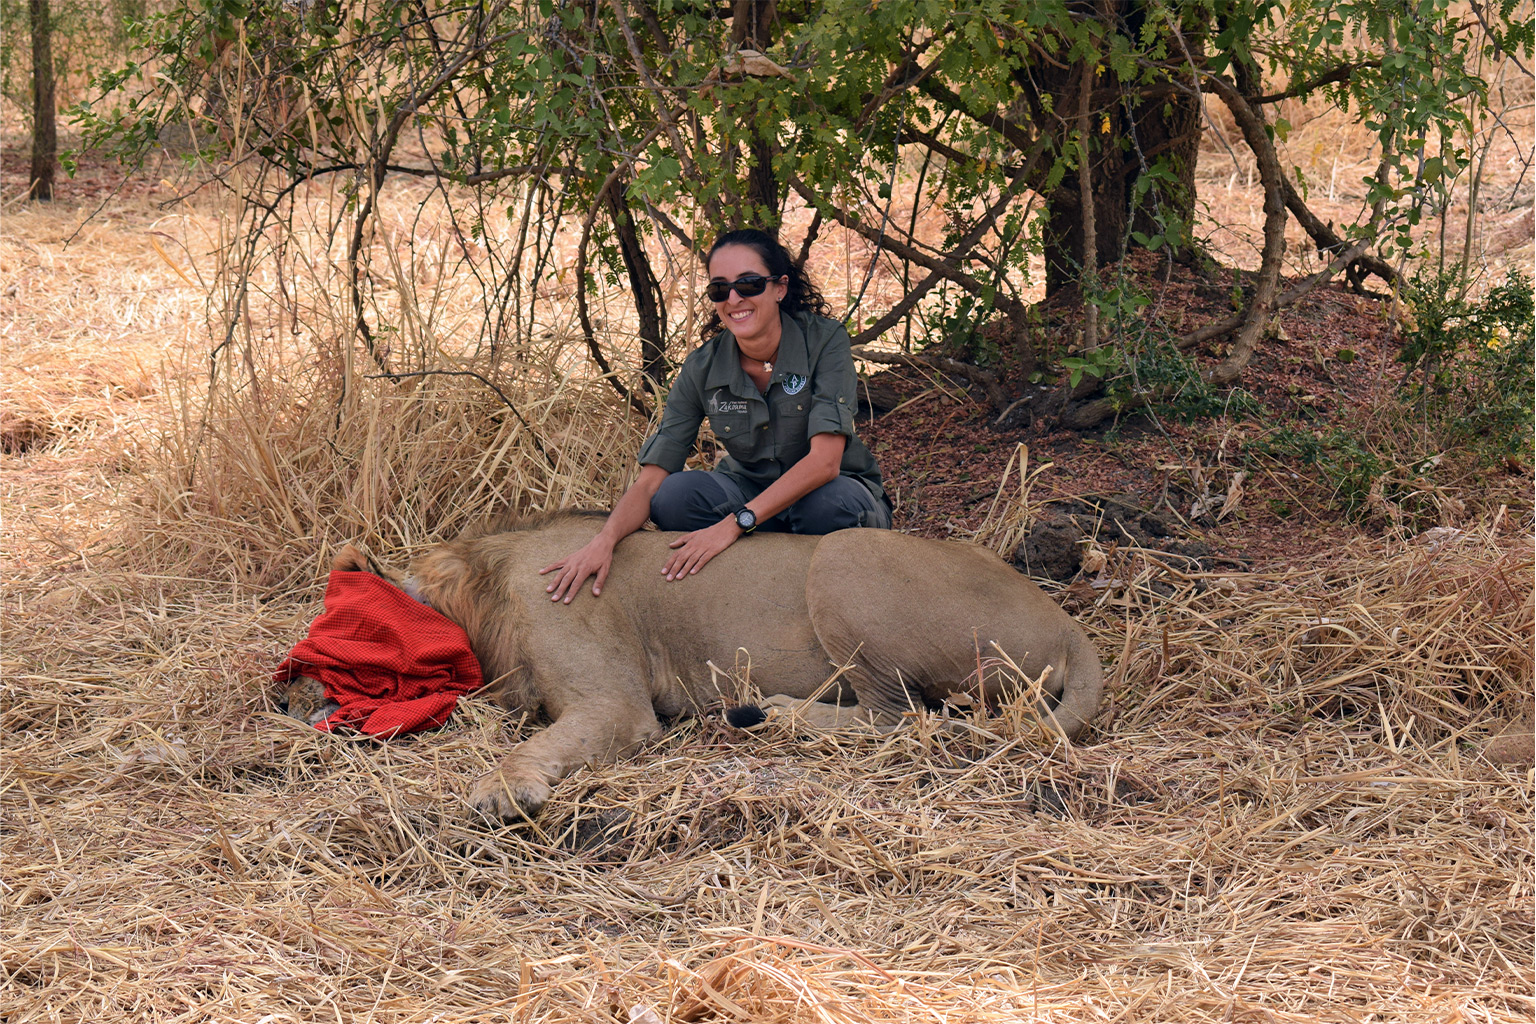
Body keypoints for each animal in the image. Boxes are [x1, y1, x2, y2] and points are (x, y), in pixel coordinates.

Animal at [282, 512, 1105, 822]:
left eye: (330, 640)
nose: (283, 698)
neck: (477, 593)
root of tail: (1068, 622)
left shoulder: (615, 703)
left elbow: (539, 742)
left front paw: (501, 789)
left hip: (843, 557)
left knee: (899, 715)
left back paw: (772, 713)